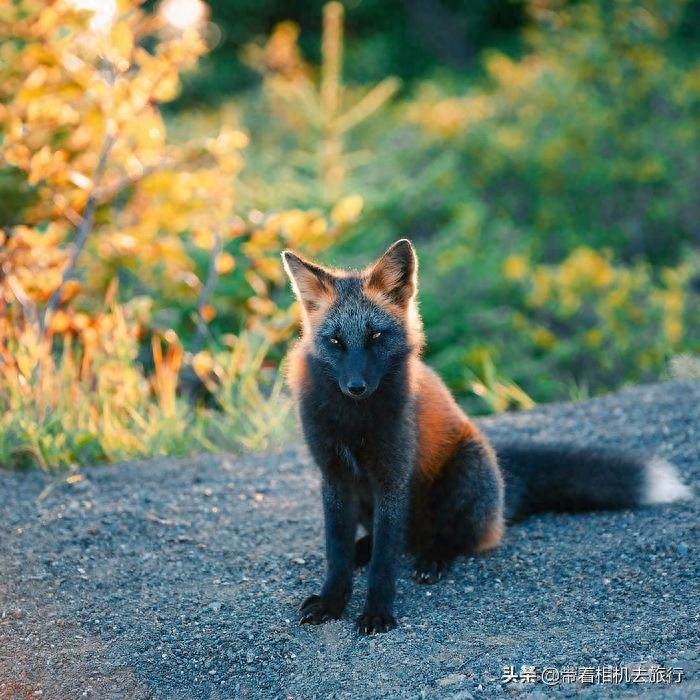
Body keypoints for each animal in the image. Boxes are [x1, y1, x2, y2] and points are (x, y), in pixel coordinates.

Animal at [280, 239, 696, 636]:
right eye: (335, 341)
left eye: (376, 335)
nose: (356, 387)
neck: (353, 423)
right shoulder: (334, 476)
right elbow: (337, 554)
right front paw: (332, 602)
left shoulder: (393, 476)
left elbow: (385, 563)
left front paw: (377, 612)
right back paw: (365, 549)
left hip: (466, 471)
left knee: (452, 538)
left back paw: (434, 558)